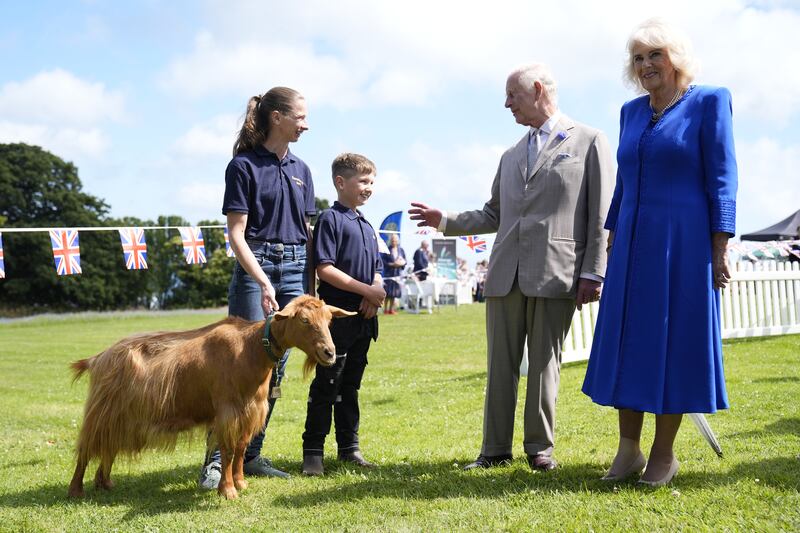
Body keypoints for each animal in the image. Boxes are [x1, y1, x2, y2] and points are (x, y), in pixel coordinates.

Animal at [67, 296, 354, 498]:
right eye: (304, 320)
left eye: (329, 320)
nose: (329, 353)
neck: (250, 349)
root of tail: (98, 358)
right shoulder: (227, 411)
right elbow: (226, 450)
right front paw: (228, 490)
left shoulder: (250, 411)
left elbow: (241, 448)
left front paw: (241, 482)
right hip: (102, 411)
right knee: (87, 447)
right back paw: (76, 490)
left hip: (121, 416)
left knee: (109, 445)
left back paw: (104, 483)